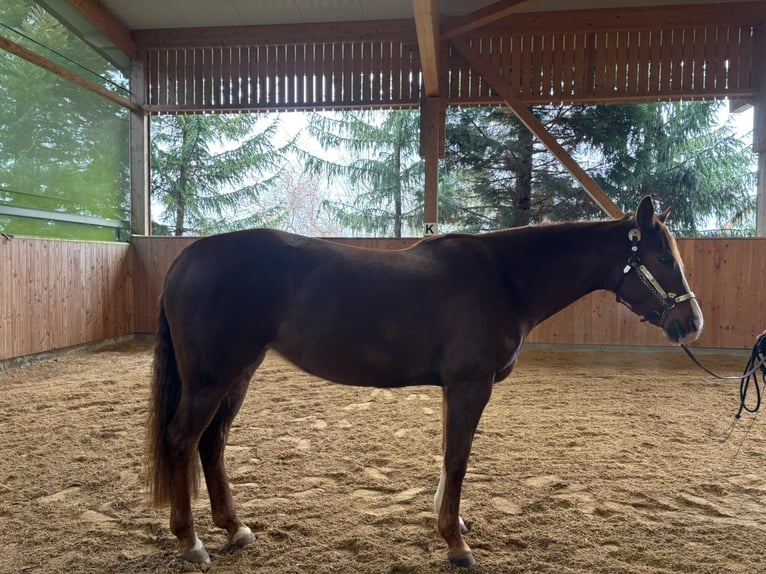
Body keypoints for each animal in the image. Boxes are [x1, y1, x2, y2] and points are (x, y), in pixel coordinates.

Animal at [146, 195, 703, 567]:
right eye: (662, 259)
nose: (692, 323)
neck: (503, 278)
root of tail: (186, 259)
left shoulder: (456, 389)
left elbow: (447, 455)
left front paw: (450, 523)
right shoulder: (470, 385)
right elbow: (458, 459)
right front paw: (456, 544)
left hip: (239, 373)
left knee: (212, 444)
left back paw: (235, 530)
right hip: (211, 379)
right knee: (182, 440)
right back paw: (191, 542)